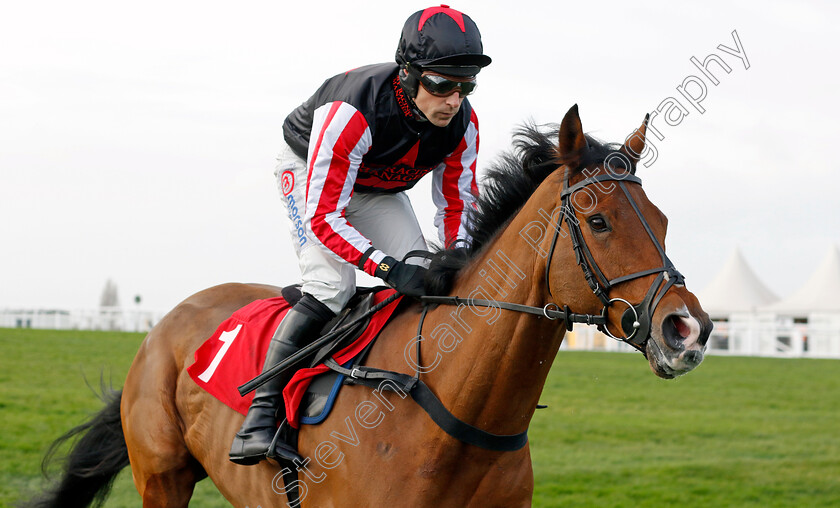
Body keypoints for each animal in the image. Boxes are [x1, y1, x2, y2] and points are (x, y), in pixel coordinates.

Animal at [26, 104, 708, 508]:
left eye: (663, 221)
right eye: (597, 222)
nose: (688, 329)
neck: (459, 412)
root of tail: (162, 325)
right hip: (162, 477)